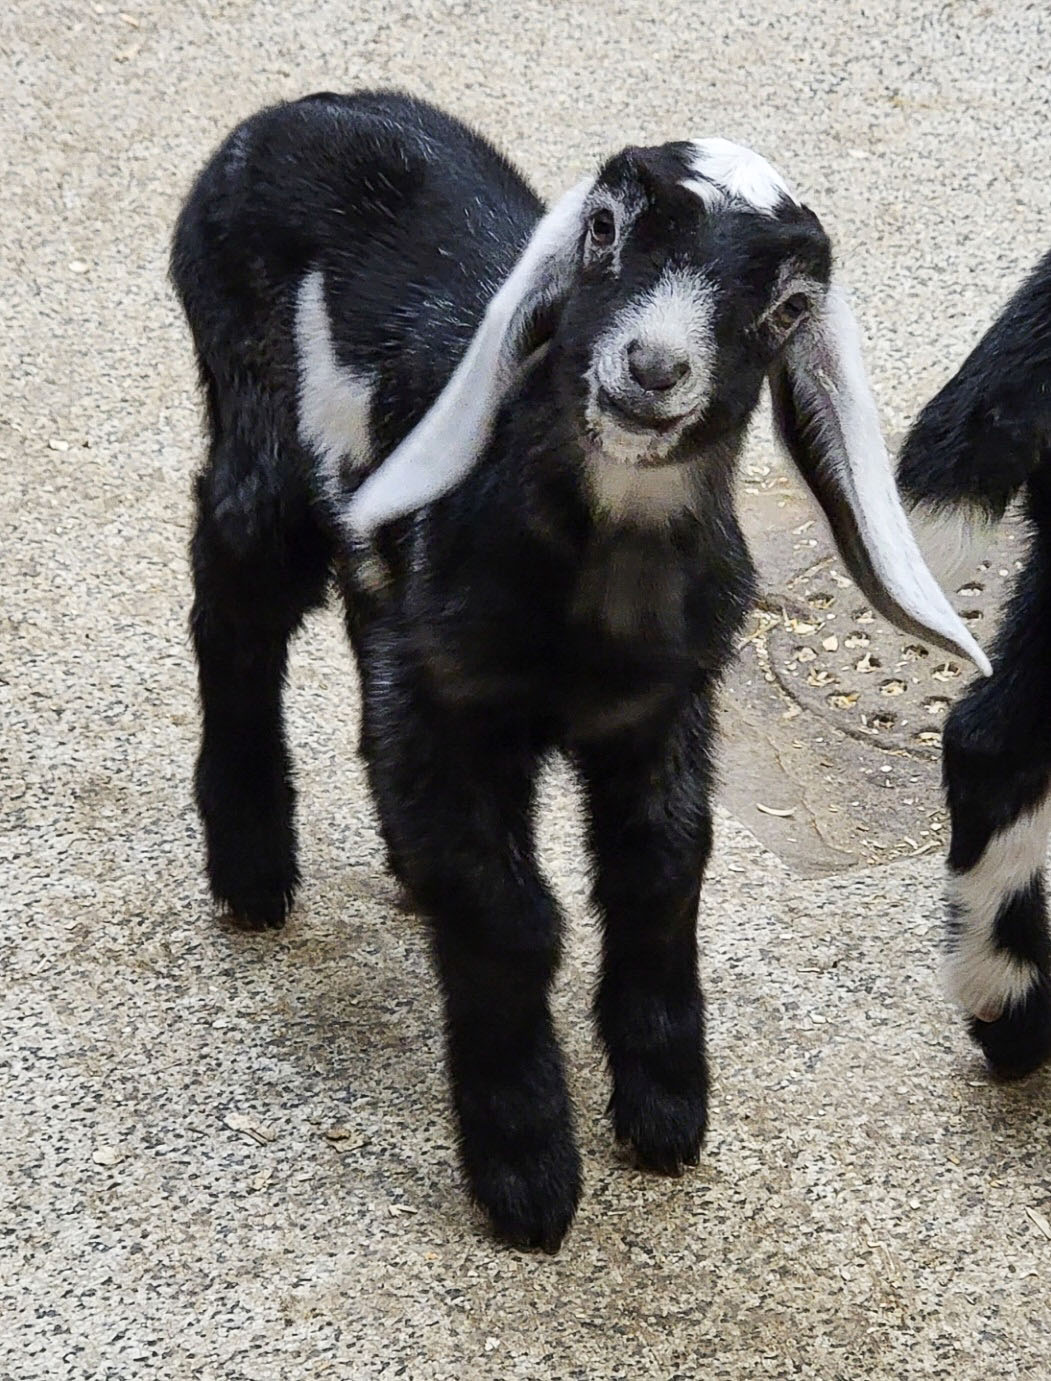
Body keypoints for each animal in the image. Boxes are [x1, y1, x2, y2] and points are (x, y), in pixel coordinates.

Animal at [171, 88, 987, 1250]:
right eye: (603, 230)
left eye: (787, 304)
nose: (651, 369)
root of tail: (304, 109)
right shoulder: (455, 702)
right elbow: (510, 916)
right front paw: (526, 1167)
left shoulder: (662, 711)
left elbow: (660, 878)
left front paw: (665, 1106)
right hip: (254, 423)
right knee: (232, 595)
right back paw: (249, 867)